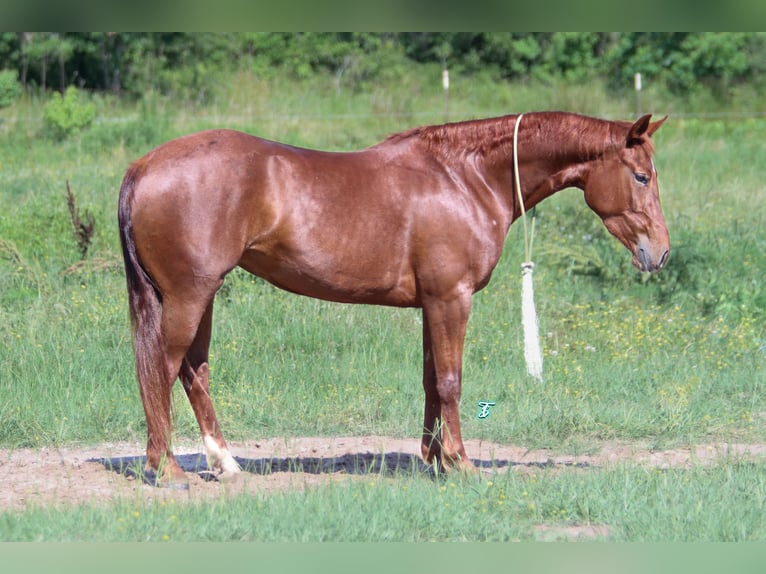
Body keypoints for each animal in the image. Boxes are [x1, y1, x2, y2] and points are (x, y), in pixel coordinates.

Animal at [117, 111, 668, 486]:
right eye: (641, 176)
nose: (659, 253)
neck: (464, 177)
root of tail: (144, 165)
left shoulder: (433, 304)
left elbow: (430, 381)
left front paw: (432, 459)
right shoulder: (452, 299)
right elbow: (450, 381)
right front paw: (461, 463)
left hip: (200, 297)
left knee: (194, 372)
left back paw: (225, 463)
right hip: (189, 297)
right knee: (162, 369)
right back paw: (166, 467)